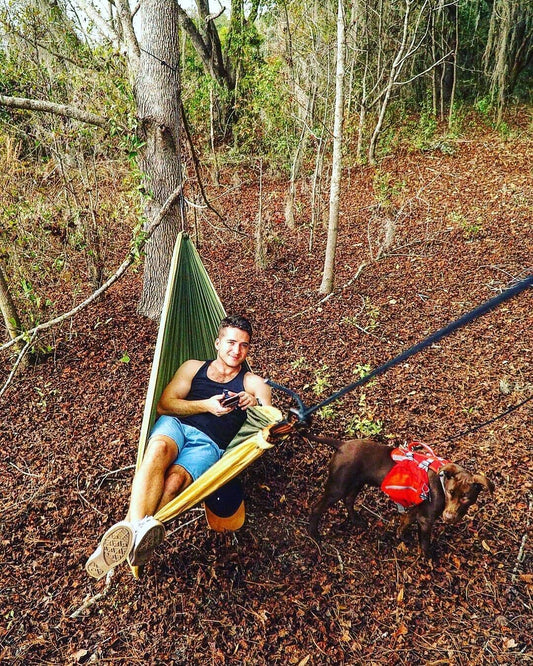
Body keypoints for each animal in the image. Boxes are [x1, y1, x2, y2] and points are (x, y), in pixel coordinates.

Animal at [306, 430, 492, 556]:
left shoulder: (416, 510)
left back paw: (356, 521)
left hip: (357, 483)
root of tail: (341, 445)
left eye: (466, 498)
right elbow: (425, 543)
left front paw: (400, 536)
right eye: (450, 492)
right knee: (317, 508)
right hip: (338, 487)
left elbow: (405, 522)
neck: (441, 482)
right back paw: (314, 534)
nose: (448, 517)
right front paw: (429, 558)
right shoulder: (426, 519)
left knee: (349, 500)